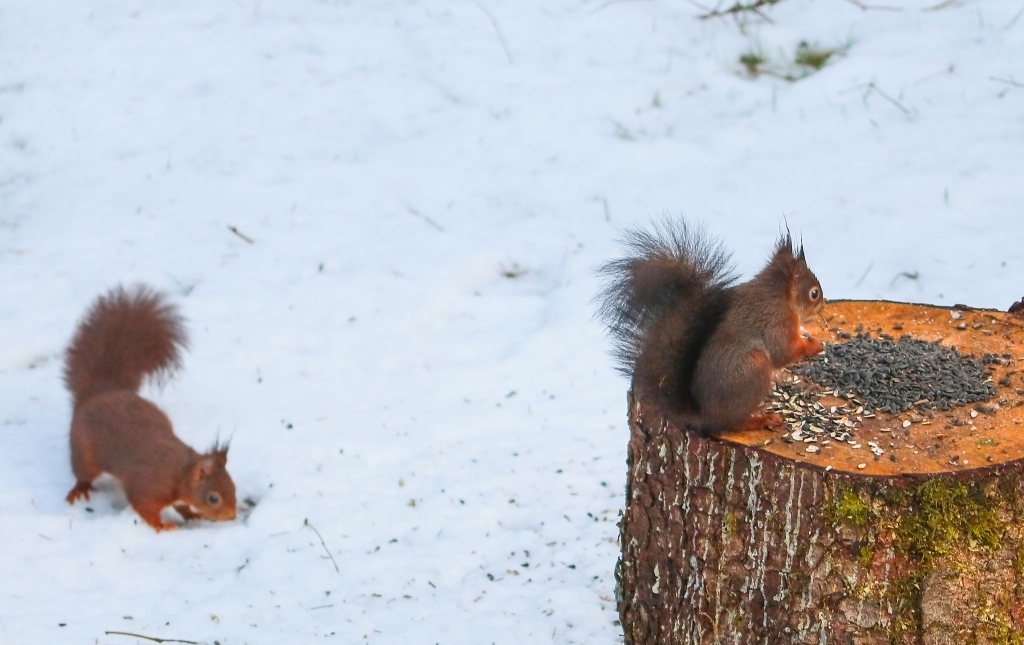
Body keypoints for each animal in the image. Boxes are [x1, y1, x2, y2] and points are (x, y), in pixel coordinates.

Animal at [64, 286, 237, 532]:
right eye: (213, 498)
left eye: (233, 486)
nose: (232, 516)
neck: (179, 472)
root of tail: (101, 393)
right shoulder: (147, 483)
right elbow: (143, 505)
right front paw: (161, 526)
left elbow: (181, 506)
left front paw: (192, 515)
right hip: (84, 451)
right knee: (82, 473)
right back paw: (80, 488)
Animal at [598, 220, 823, 438]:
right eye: (814, 293)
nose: (822, 306)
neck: (779, 295)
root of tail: (704, 416)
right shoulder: (776, 323)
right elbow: (782, 352)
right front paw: (814, 346)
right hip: (753, 370)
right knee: (733, 424)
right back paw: (762, 419)